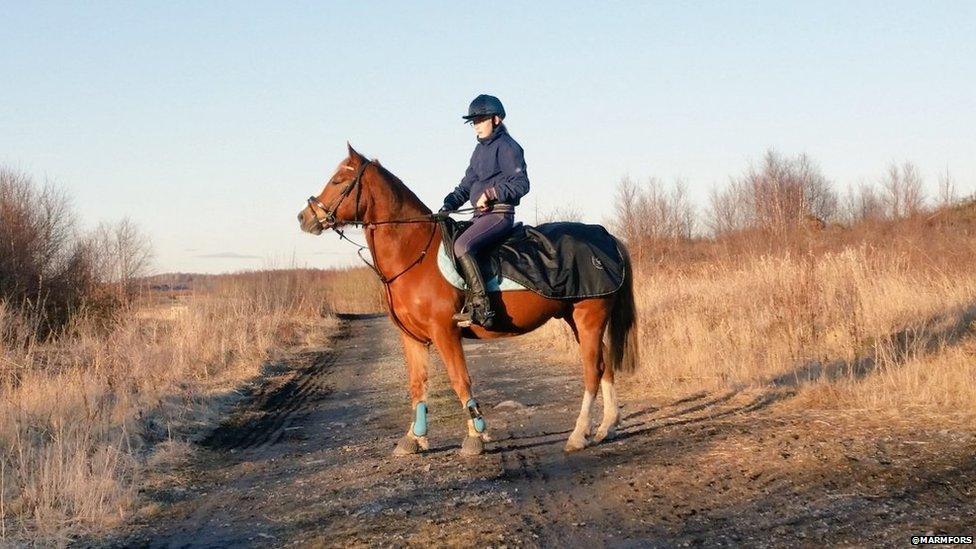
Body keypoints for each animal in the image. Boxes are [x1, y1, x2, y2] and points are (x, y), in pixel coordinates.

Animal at [296, 144, 640, 454]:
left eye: (338, 180)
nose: (304, 217)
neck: (414, 253)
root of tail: (606, 237)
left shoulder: (445, 331)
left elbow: (460, 380)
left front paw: (476, 435)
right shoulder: (413, 338)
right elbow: (417, 384)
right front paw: (415, 438)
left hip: (589, 317)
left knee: (592, 371)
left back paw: (579, 435)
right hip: (577, 319)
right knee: (605, 365)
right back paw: (607, 427)